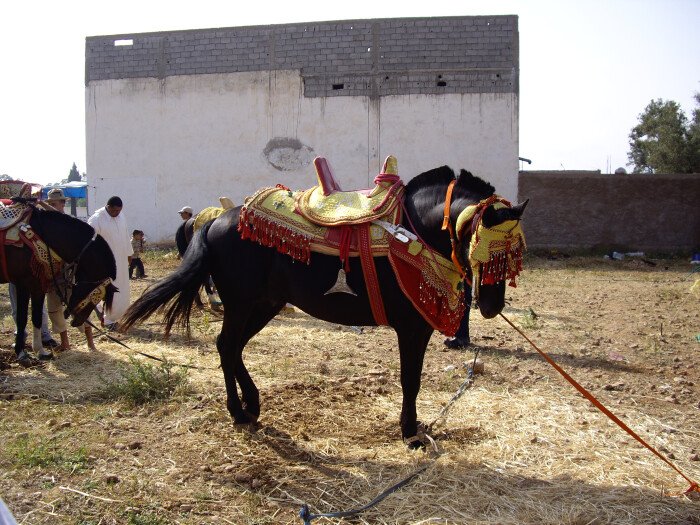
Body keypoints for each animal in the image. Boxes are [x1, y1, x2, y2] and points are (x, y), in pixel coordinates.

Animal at [2, 205, 117, 364]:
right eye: (96, 295)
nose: (78, 321)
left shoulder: (38, 285)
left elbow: (37, 317)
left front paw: (40, 351)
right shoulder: (23, 284)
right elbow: (22, 318)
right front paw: (21, 352)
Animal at [121, 166, 524, 444]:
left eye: (513, 255)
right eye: (487, 251)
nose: (491, 306)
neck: (414, 231)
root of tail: (216, 220)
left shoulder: (420, 327)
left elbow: (415, 379)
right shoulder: (411, 328)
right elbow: (410, 379)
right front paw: (410, 431)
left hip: (264, 304)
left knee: (233, 348)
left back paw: (252, 404)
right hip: (241, 303)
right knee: (226, 345)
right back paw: (238, 411)